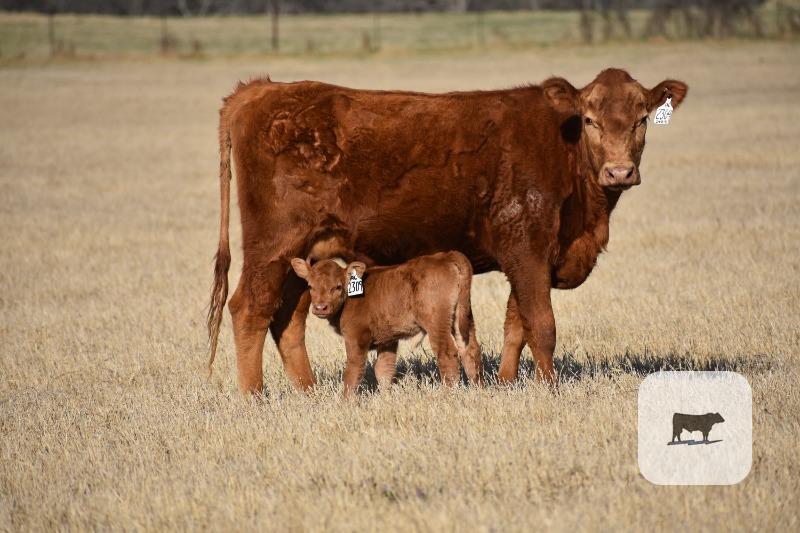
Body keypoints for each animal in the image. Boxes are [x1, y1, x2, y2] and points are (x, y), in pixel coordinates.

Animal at [289, 252, 482, 397]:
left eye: (337, 287)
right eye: (310, 286)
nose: (320, 307)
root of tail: (446, 255)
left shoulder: (356, 338)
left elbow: (353, 371)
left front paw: (346, 402)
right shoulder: (388, 339)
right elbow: (383, 369)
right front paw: (386, 398)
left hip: (436, 322)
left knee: (448, 354)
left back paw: (448, 394)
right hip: (461, 317)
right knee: (470, 349)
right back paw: (477, 389)